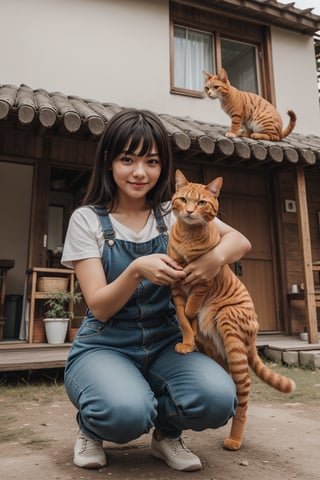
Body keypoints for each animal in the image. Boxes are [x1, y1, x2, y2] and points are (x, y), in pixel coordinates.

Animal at [169, 171, 296, 452]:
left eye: (202, 203)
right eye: (183, 199)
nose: (190, 211)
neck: (188, 237)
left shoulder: (204, 278)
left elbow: (193, 303)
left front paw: (193, 316)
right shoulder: (174, 287)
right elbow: (183, 319)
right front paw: (187, 341)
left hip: (230, 325)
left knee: (243, 396)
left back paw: (235, 439)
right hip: (218, 353)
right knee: (230, 385)